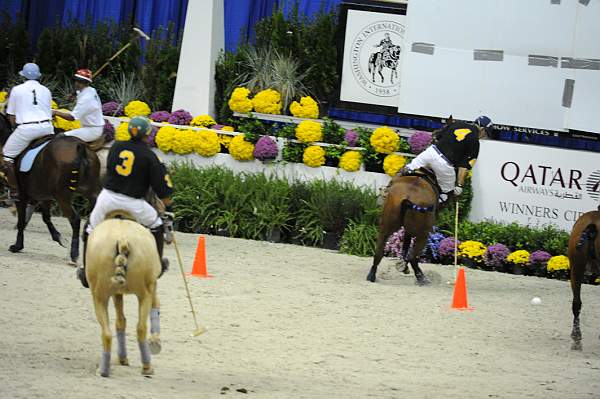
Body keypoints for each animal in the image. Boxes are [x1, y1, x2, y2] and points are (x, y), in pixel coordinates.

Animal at [0, 113, 101, 262]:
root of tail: (81, 146)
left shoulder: (22, 196)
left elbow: (21, 220)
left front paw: (17, 246)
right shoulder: (45, 196)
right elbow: (45, 217)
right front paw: (59, 238)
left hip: (62, 196)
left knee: (75, 220)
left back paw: (74, 255)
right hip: (92, 193)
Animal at [86, 214, 162, 376]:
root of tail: (122, 238)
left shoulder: (117, 294)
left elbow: (121, 321)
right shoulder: (149, 289)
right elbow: (122, 322)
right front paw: (155, 342)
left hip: (101, 297)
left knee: (109, 333)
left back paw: (105, 370)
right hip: (143, 295)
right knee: (139, 328)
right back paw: (146, 366)